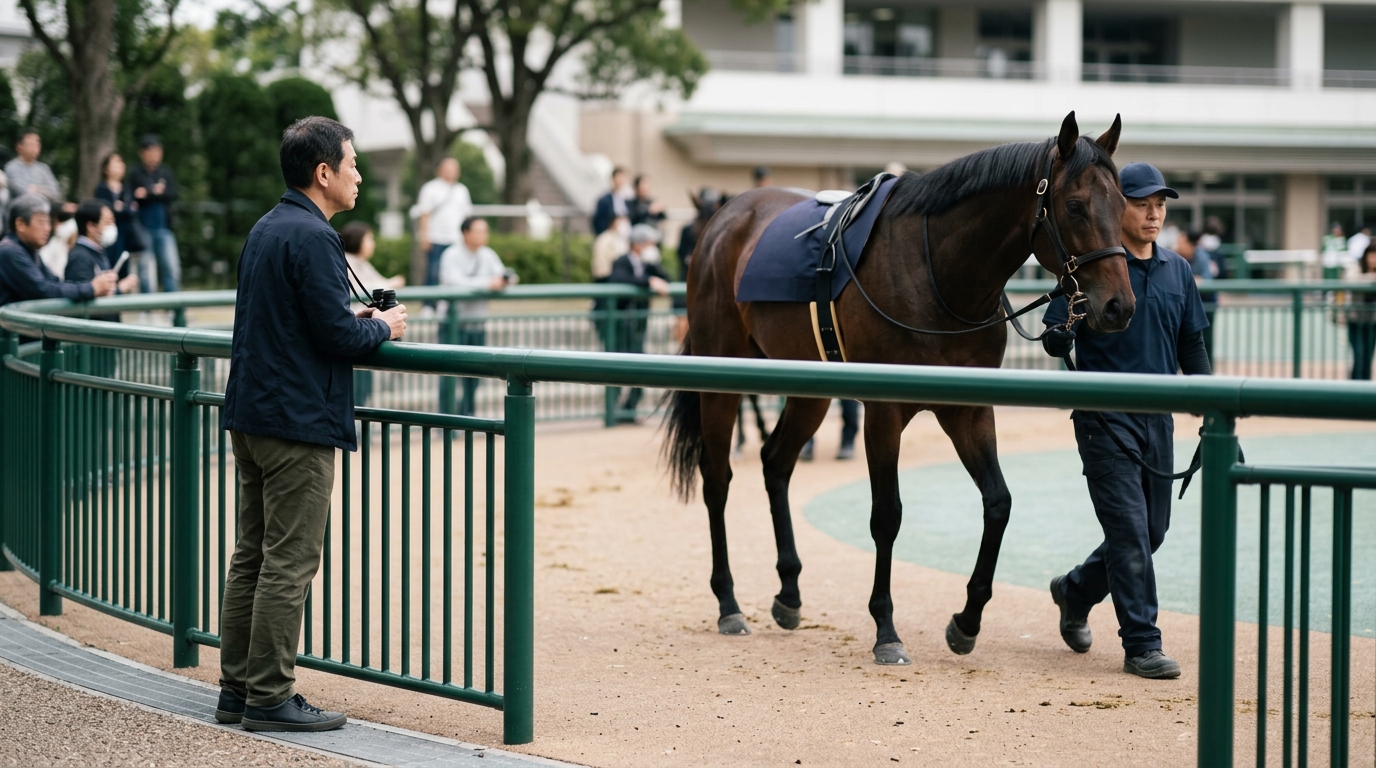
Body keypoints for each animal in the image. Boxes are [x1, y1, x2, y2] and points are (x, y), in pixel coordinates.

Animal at [662, 112, 1136, 665]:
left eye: (1122, 204)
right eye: (1076, 206)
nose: (1118, 307)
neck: (938, 276)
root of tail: (726, 218)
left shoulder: (969, 411)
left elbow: (998, 502)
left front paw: (966, 622)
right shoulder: (884, 411)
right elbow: (887, 515)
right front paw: (886, 630)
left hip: (808, 388)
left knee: (776, 462)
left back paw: (789, 593)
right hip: (721, 382)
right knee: (717, 478)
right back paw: (729, 603)